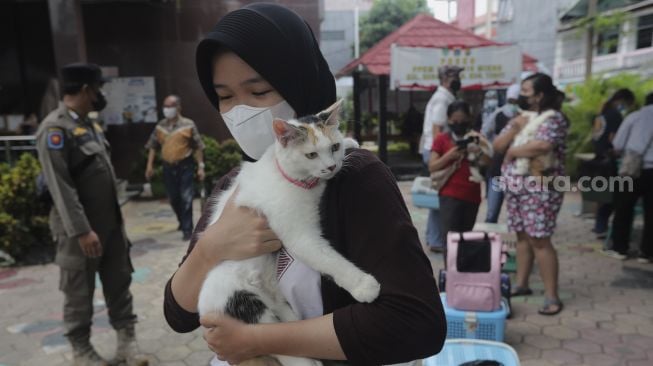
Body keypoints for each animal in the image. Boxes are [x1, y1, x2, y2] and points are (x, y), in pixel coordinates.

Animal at [199, 99, 382, 366]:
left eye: (334, 146)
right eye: (311, 154)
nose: (331, 166)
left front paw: (350, 143)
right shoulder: (299, 236)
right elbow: (330, 260)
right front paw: (363, 285)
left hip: (280, 304)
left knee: (284, 329)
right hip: (242, 301)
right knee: (266, 338)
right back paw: (305, 362)